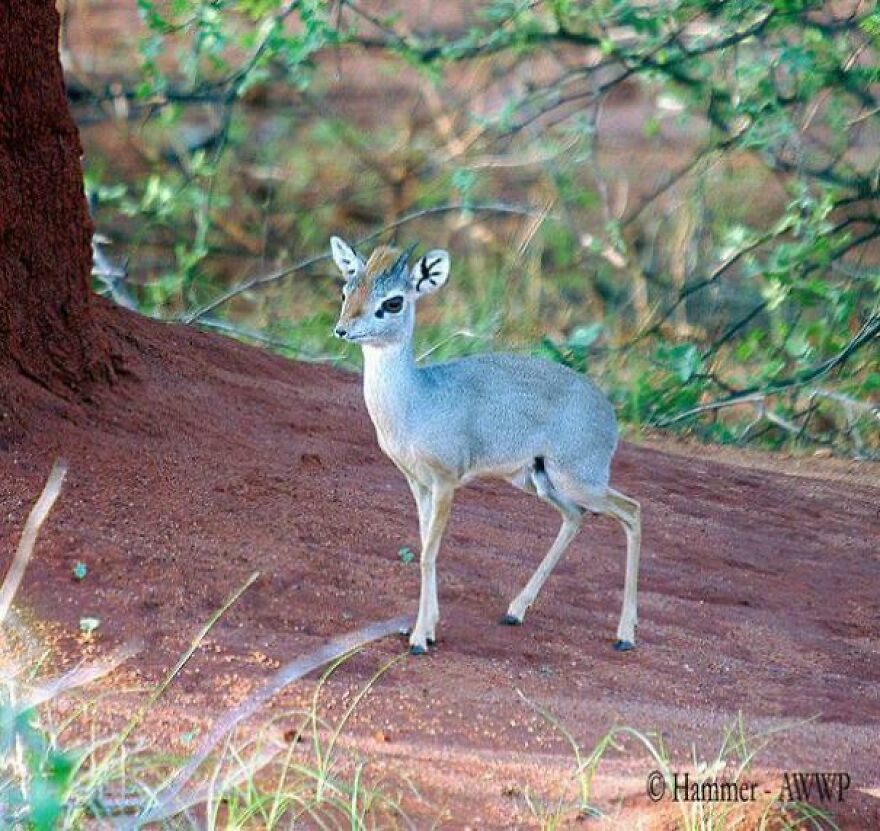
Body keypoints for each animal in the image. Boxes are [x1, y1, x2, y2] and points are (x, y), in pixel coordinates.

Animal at [331, 236, 641, 655]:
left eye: (394, 302)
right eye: (346, 290)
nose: (342, 330)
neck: (416, 401)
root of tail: (607, 409)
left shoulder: (445, 482)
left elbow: (429, 553)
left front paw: (419, 638)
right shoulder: (417, 483)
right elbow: (424, 545)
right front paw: (429, 627)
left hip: (580, 480)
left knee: (632, 511)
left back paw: (625, 635)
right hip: (537, 480)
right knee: (575, 517)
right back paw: (515, 611)